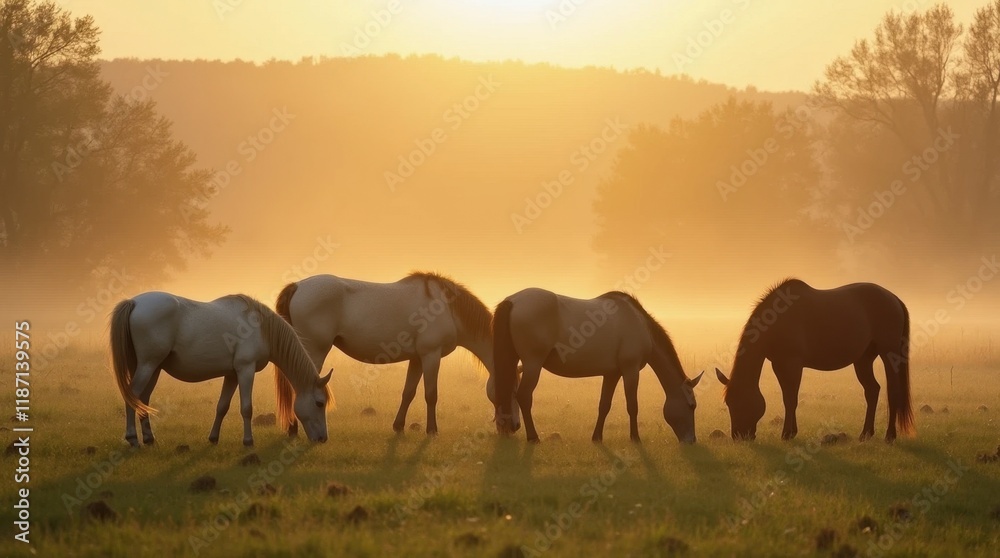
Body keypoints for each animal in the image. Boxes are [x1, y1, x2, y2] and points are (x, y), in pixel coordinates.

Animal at [109, 292, 332, 447]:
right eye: (319, 403)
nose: (323, 438)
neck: (260, 328)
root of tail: (135, 302)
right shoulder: (245, 370)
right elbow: (246, 408)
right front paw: (248, 441)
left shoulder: (231, 375)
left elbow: (222, 407)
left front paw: (213, 438)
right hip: (148, 365)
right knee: (133, 395)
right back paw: (133, 439)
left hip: (153, 368)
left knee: (142, 400)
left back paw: (149, 438)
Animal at [273, 272, 519, 436]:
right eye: (513, 388)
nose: (514, 426)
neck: (448, 309)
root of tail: (298, 286)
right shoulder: (431, 355)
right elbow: (431, 394)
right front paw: (432, 430)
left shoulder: (417, 358)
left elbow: (408, 392)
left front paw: (399, 426)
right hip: (313, 351)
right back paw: (294, 429)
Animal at [493, 288, 703, 444]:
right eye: (692, 405)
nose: (691, 440)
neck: (637, 322)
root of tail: (513, 300)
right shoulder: (631, 370)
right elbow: (632, 405)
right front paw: (635, 438)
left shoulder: (612, 374)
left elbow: (604, 405)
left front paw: (597, 437)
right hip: (532, 364)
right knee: (524, 396)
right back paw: (533, 437)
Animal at [715, 278, 913, 442]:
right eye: (728, 403)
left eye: (741, 401)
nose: (738, 436)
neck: (777, 321)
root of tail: (894, 299)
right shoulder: (779, 364)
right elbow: (789, 397)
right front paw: (792, 432)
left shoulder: (791, 365)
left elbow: (790, 399)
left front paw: (787, 433)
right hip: (863, 360)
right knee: (872, 391)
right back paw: (865, 434)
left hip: (888, 354)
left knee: (892, 392)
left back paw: (890, 435)